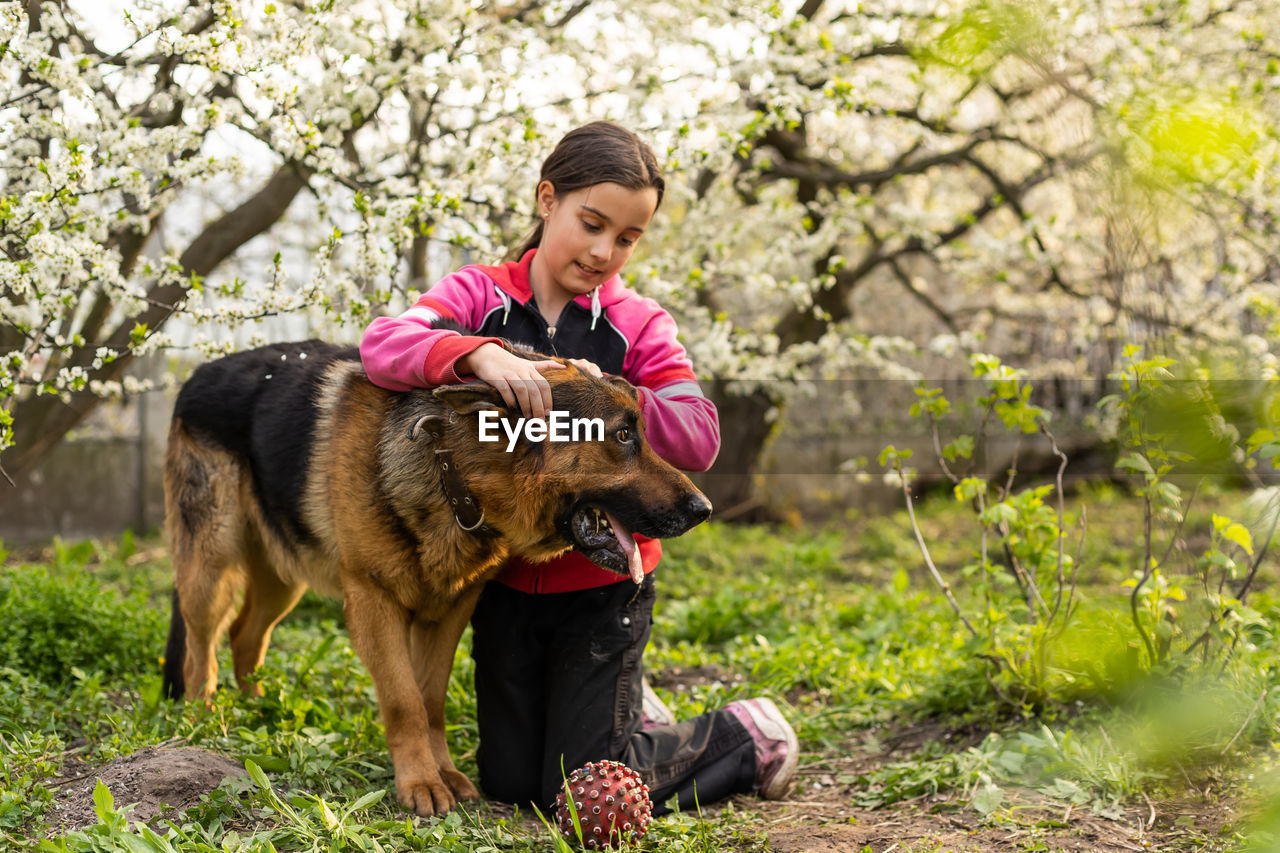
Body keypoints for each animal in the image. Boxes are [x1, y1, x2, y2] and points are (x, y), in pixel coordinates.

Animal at [162, 335, 711, 814]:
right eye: (622, 435)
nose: (703, 510)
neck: (455, 473)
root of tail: (198, 374)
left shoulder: (448, 613)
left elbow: (430, 699)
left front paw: (442, 772)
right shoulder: (374, 603)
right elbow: (404, 700)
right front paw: (421, 782)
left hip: (283, 579)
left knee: (245, 636)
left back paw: (256, 707)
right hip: (211, 569)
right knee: (200, 648)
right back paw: (201, 720)